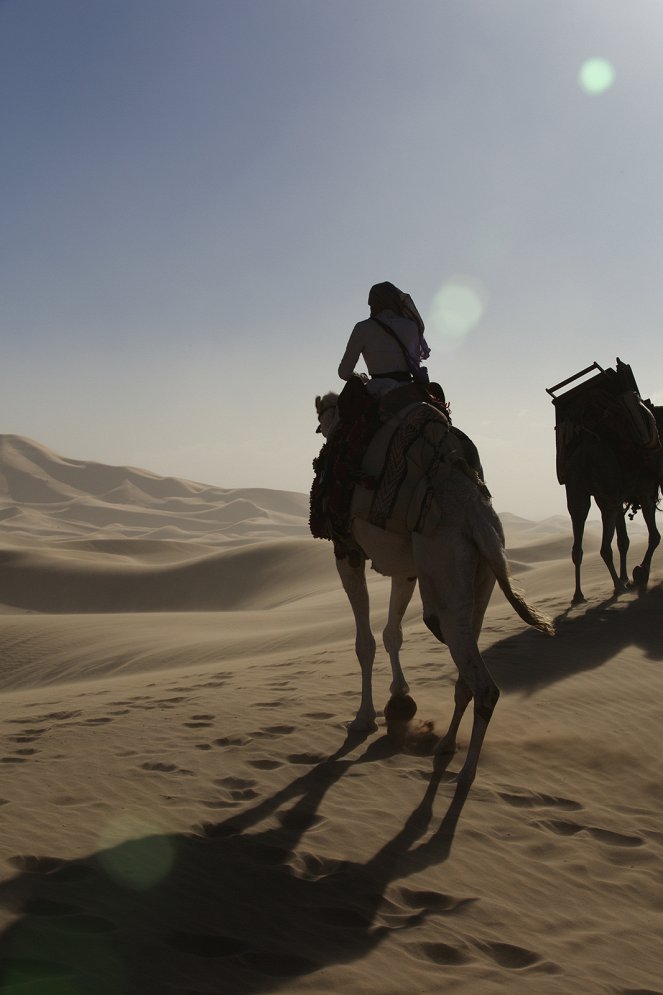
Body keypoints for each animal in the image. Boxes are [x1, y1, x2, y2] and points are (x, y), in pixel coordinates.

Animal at [314, 392, 552, 784]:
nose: (321, 427)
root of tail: (476, 516)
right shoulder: (407, 569)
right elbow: (392, 633)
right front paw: (399, 699)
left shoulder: (347, 550)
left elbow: (365, 642)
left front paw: (364, 717)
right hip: (480, 578)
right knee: (467, 672)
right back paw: (446, 745)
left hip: (443, 574)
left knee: (484, 685)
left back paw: (466, 772)